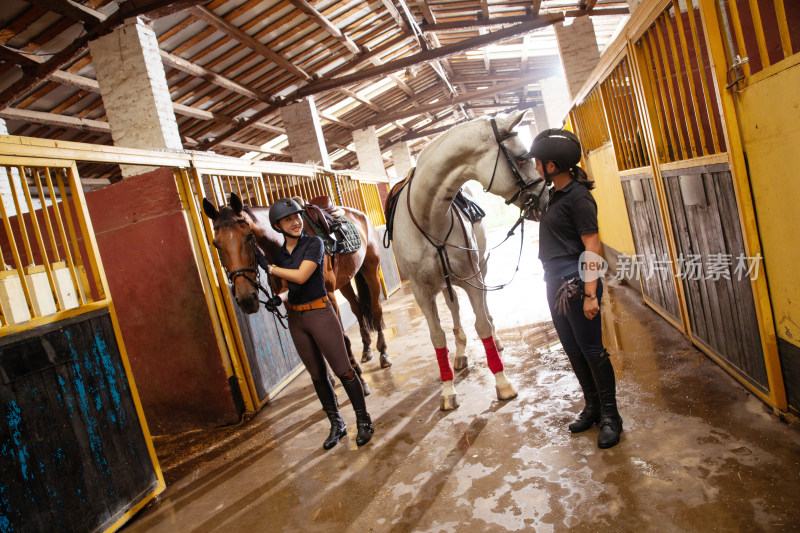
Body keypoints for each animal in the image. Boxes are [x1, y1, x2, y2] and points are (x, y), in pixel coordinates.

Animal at [202, 193, 392, 368]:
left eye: (248, 237)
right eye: (216, 244)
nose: (246, 299)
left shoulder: (328, 295)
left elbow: (340, 337)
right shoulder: (289, 300)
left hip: (371, 270)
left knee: (376, 308)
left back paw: (383, 353)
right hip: (345, 280)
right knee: (357, 307)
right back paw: (366, 349)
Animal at [390, 107, 548, 408]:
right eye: (522, 157)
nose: (545, 197)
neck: (429, 220)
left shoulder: (473, 279)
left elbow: (482, 324)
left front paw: (503, 384)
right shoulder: (422, 292)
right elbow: (437, 337)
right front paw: (447, 390)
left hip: (481, 271)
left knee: (484, 309)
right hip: (445, 285)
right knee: (454, 314)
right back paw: (460, 355)